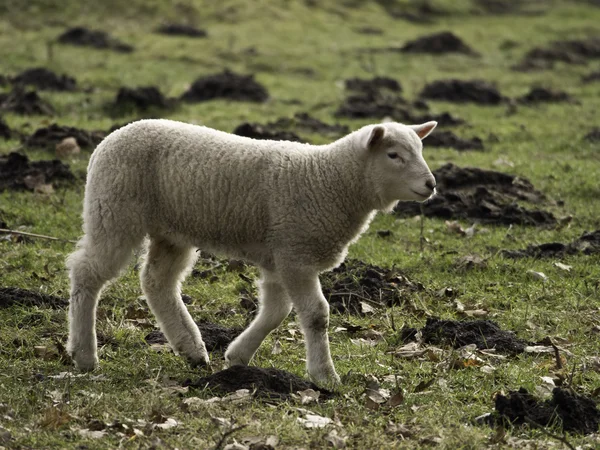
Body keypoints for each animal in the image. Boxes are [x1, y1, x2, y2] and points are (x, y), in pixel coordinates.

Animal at [67, 118, 436, 384]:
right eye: (393, 155)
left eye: (420, 150)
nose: (431, 184)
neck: (328, 180)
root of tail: (109, 140)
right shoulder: (296, 255)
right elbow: (316, 315)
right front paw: (325, 376)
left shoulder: (279, 256)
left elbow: (276, 312)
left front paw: (237, 357)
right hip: (114, 210)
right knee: (87, 273)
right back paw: (85, 354)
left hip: (170, 230)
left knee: (158, 282)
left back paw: (192, 349)